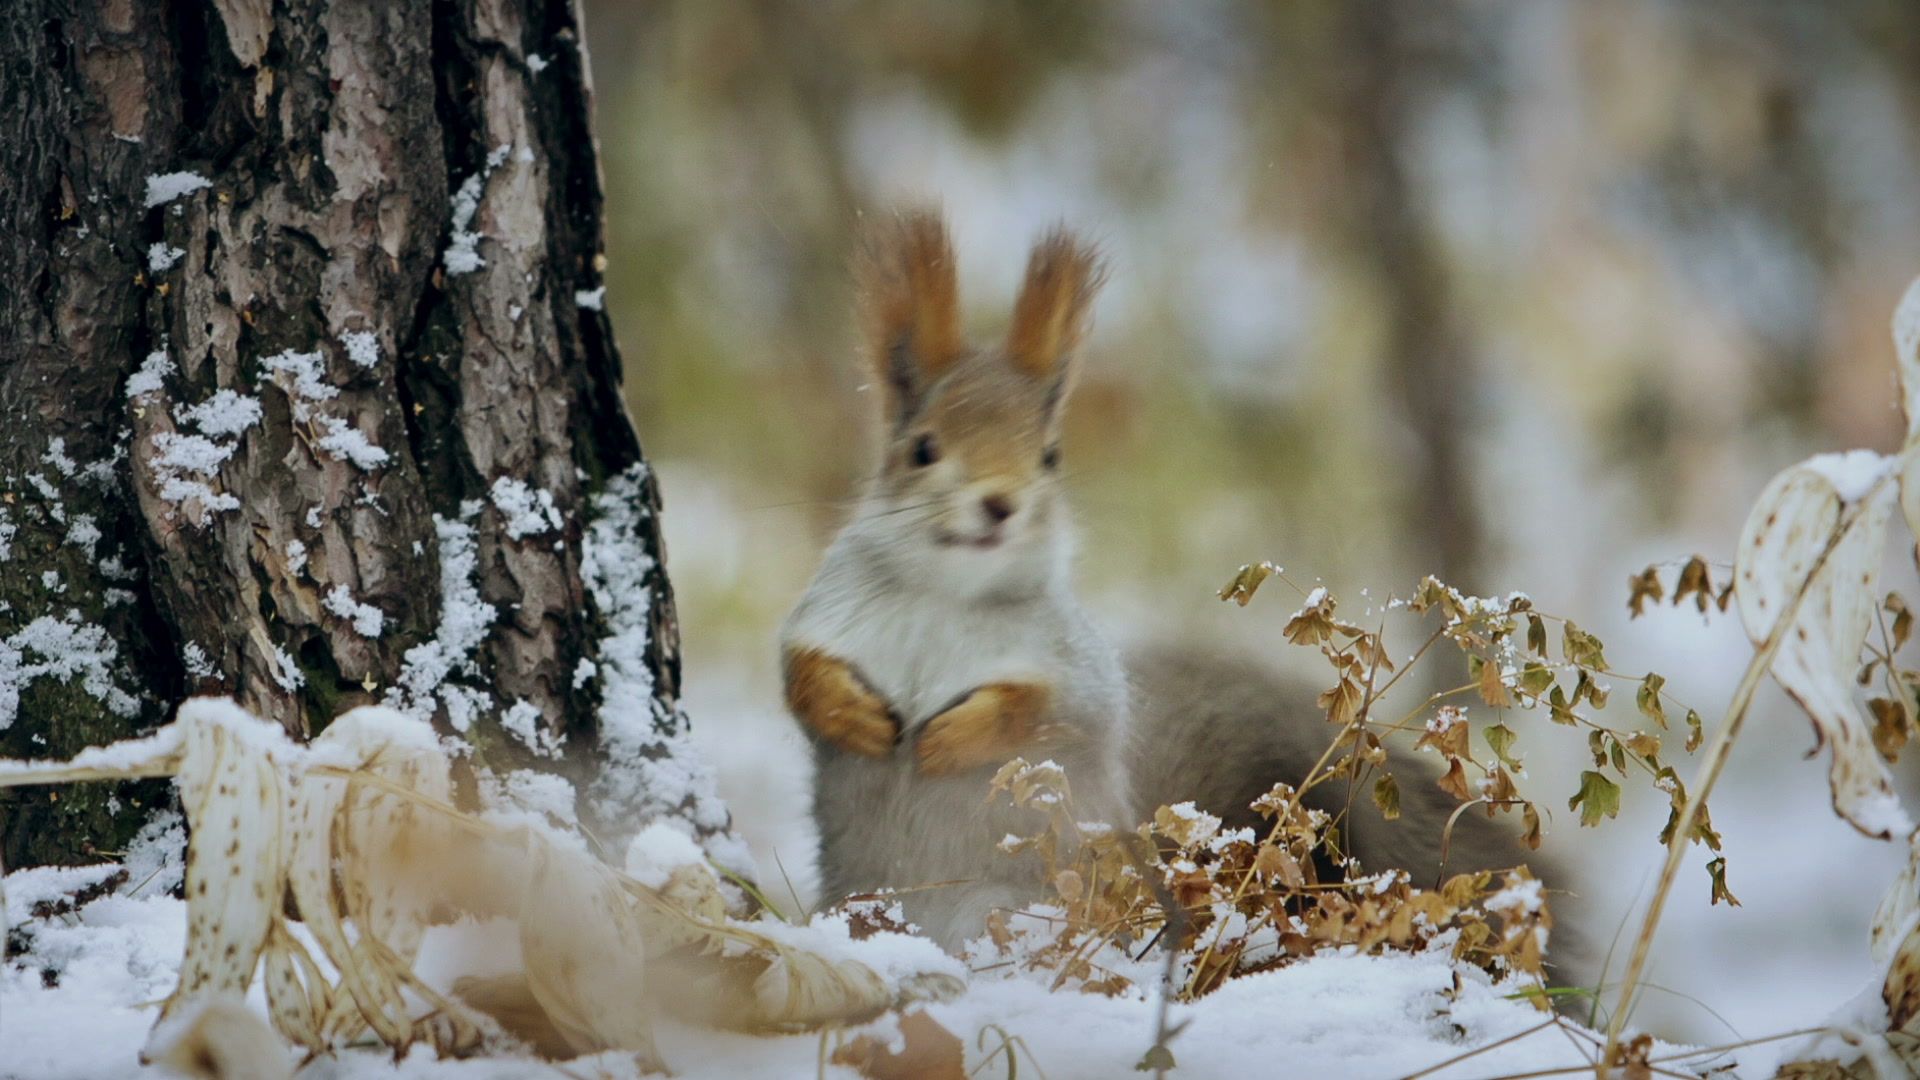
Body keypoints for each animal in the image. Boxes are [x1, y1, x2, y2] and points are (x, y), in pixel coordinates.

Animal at [779, 205, 1543, 945]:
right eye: (922, 448)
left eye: (1049, 455)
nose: (999, 504)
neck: (949, 595)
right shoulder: (830, 610)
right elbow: (798, 672)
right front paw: (850, 714)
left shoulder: (1073, 668)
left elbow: (1053, 712)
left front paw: (952, 737)